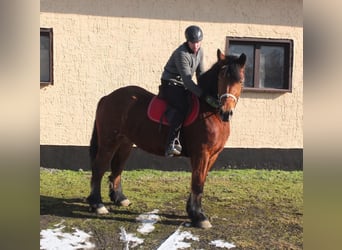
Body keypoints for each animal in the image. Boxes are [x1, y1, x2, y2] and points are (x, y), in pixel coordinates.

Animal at [85, 48, 246, 229]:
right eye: (220, 77)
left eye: (240, 80)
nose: (226, 112)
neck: (209, 110)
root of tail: (107, 97)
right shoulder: (201, 153)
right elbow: (197, 182)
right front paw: (199, 216)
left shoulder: (213, 155)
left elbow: (200, 181)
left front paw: (192, 211)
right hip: (108, 142)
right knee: (99, 168)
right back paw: (97, 204)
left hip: (124, 143)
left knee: (117, 168)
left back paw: (119, 198)